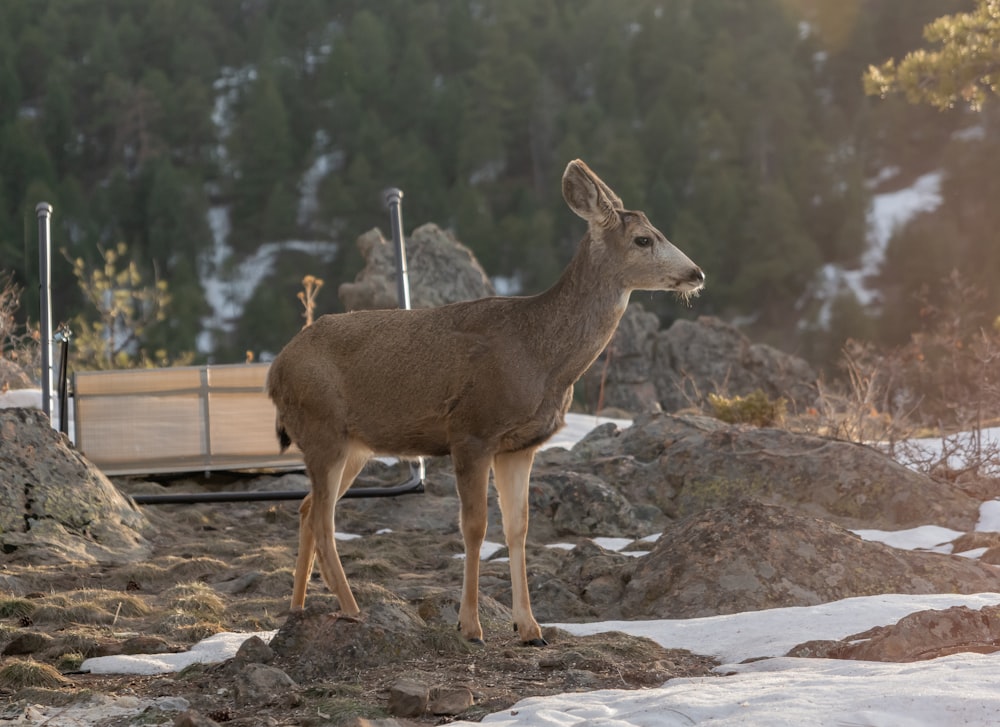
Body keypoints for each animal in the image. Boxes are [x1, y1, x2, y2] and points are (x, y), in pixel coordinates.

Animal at [266, 159, 704, 648]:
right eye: (644, 238)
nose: (697, 274)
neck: (539, 356)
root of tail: (276, 368)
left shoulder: (519, 445)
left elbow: (519, 528)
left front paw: (530, 628)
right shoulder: (471, 430)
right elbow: (474, 527)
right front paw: (471, 626)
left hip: (355, 445)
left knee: (308, 509)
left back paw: (297, 608)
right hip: (322, 428)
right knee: (324, 520)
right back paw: (352, 609)